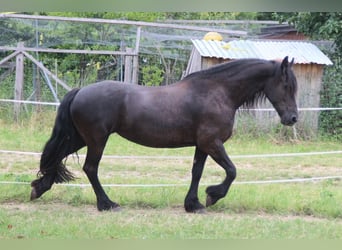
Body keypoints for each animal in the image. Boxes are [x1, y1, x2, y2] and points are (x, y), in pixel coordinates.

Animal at [30, 56, 298, 213]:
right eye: (287, 85)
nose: (293, 118)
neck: (217, 92)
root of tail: (81, 91)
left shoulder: (202, 145)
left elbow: (197, 172)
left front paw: (193, 204)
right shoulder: (213, 143)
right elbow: (232, 171)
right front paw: (212, 196)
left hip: (78, 138)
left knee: (57, 157)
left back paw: (39, 188)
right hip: (96, 140)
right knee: (90, 169)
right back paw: (107, 204)